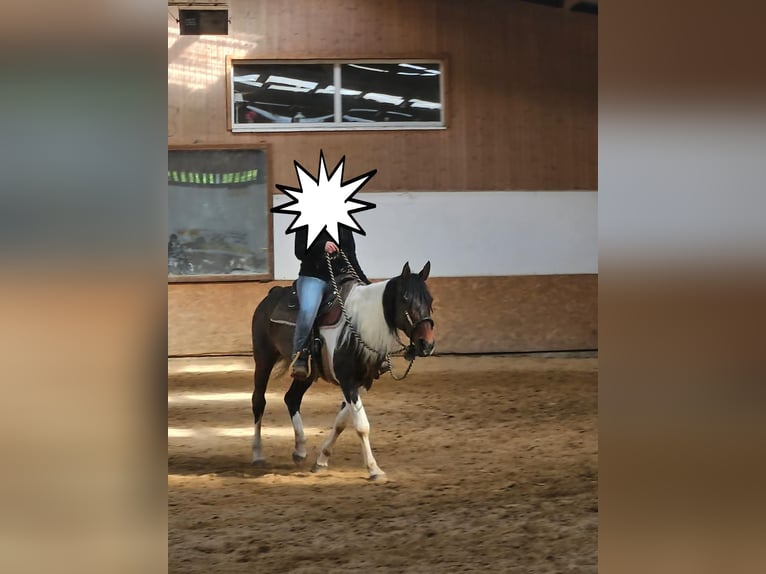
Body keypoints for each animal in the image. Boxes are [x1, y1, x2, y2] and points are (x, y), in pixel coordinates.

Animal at [250, 259, 435, 479]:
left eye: (430, 300)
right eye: (406, 299)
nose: (427, 344)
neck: (360, 326)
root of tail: (272, 293)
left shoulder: (363, 382)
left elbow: (342, 421)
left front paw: (321, 460)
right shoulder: (347, 381)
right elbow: (362, 426)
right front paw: (374, 469)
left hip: (308, 374)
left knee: (291, 398)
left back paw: (300, 450)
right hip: (263, 358)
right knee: (259, 401)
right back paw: (258, 454)